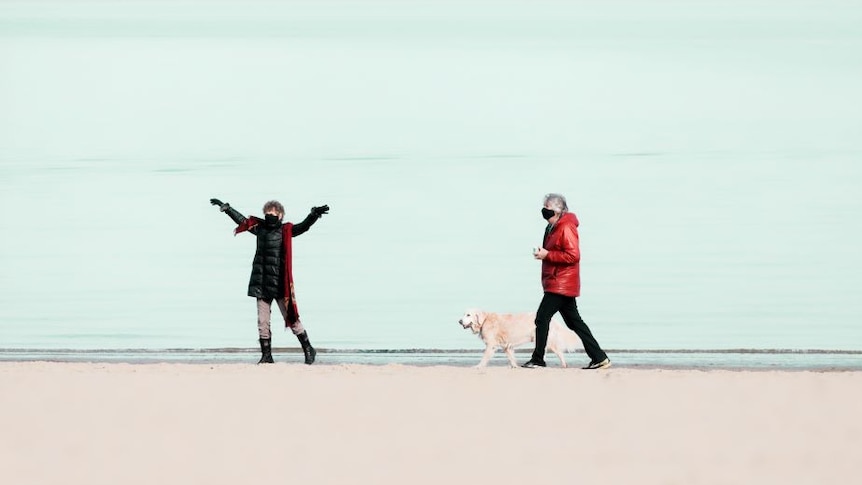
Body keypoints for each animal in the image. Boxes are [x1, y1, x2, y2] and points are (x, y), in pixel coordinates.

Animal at [456, 310, 584, 366]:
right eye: (464, 314)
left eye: (468, 314)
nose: (460, 321)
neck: (485, 320)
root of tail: (553, 320)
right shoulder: (507, 346)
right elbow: (511, 358)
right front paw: (515, 367)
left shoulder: (491, 345)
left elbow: (484, 357)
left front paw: (478, 366)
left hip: (549, 341)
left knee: (560, 353)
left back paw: (563, 365)